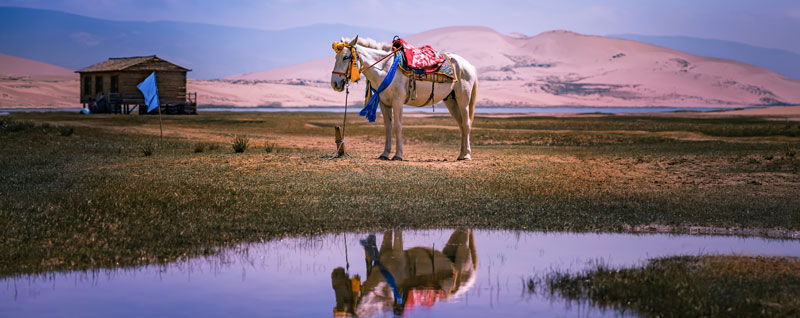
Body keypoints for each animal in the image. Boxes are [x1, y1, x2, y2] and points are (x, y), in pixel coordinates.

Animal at [330, 37, 478, 160]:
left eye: (345, 57)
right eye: (336, 57)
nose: (334, 84)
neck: (385, 68)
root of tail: (469, 66)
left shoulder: (398, 101)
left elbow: (398, 126)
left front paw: (398, 155)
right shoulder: (384, 103)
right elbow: (388, 127)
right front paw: (384, 154)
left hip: (463, 99)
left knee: (466, 124)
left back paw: (467, 155)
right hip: (451, 101)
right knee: (461, 125)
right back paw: (461, 154)